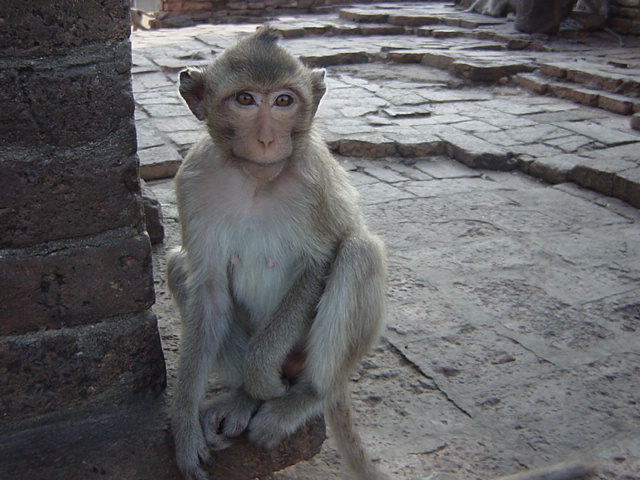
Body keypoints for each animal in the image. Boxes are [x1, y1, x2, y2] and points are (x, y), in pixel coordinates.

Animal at [165, 25, 388, 480]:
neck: (255, 180)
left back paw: (305, 396)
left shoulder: (313, 176)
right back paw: (242, 397)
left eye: (284, 101)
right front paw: (184, 427)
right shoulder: (193, 179)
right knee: (180, 265)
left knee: (358, 253)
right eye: (245, 99)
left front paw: (262, 377)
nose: (268, 139)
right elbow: (208, 289)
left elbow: (319, 263)